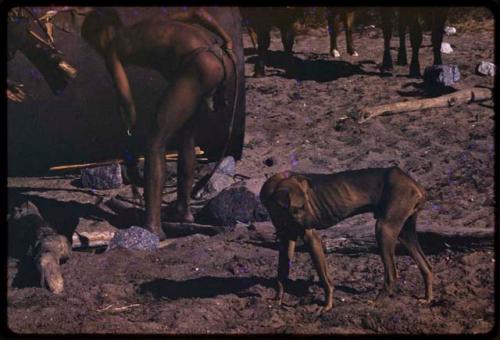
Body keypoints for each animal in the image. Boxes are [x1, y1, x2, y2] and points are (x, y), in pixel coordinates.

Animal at [260, 166, 432, 312]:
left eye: (305, 205)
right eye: (299, 207)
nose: (316, 222)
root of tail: (414, 183)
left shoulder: (312, 239)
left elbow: (325, 279)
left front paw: (327, 305)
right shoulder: (286, 240)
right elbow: (281, 275)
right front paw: (277, 301)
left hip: (384, 230)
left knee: (392, 275)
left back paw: (377, 302)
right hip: (405, 234)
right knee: (427, 267)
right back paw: (428, 299)